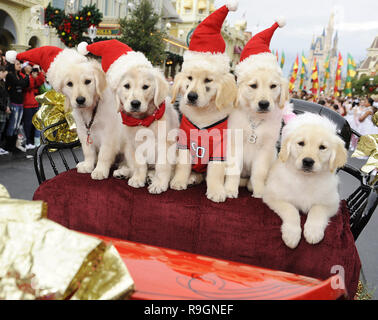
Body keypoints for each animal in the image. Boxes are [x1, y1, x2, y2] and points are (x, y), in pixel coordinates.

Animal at [111, 66, 179, 194]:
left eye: (145, 87)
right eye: (127, 86)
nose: (135, 103)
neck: (144, 120)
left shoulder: (165, 146)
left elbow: (162, 167)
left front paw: (159, 184)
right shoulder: (134, 146)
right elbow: (139, 166)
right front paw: (138, 179)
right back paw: (124, 172)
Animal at [171, 63, 238, 202]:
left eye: (208, 80)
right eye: (189, 78)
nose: (191, 96)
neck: (202, 114)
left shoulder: (220, 147)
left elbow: (215, 171)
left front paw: (216, 190)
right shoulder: (184, 143)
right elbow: (183, 165)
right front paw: (179, 181)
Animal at [262, 114, 346, 249]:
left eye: (322, 147)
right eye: (301, 143)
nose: (308, 161)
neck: (306, 179)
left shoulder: (332, 203)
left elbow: (316, 210)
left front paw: (313, 231)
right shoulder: (272, 197)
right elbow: (291, 210)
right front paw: (292, 234)